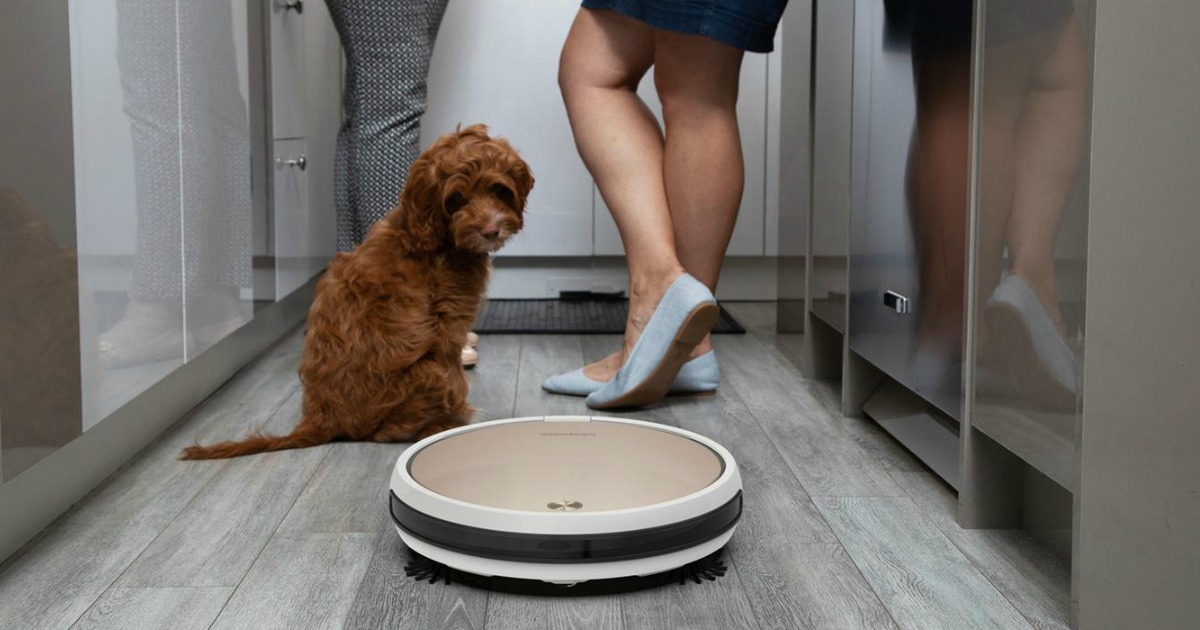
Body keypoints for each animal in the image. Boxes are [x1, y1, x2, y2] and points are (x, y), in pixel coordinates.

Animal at [180, 124, 532, 456]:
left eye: (498, 190)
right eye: (457, 199)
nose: (491, 231)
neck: (426, 234)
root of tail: (322, 420)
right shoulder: (447, 327)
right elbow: (457, 377)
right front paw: (461, 418)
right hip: (430, 372)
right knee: (386, 431)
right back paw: (440, 425)